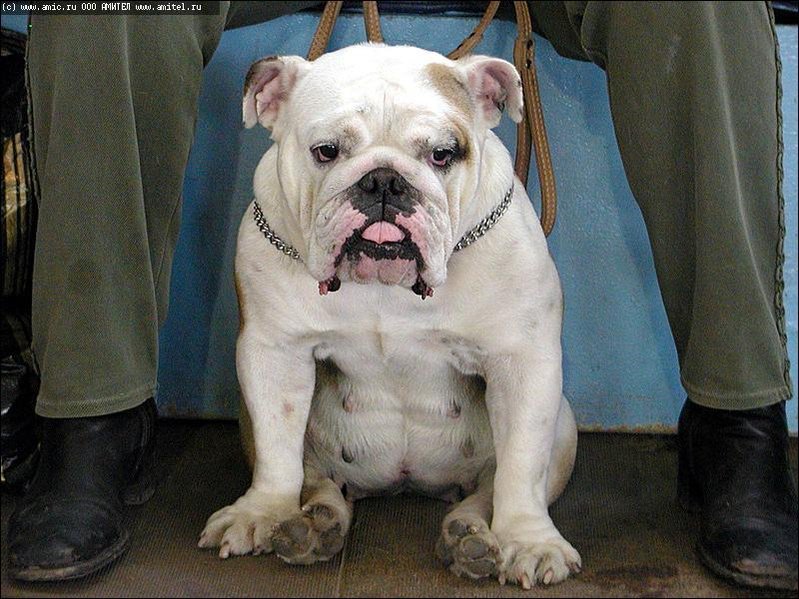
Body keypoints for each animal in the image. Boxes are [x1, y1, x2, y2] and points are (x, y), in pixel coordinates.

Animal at [199, 43, 580, 588]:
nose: (383, 180)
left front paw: (527, 539)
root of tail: (405, 482)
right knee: (316, 479)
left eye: (443, 154)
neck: (384, 287)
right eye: (326, 151)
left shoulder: (522, 361)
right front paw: (263, 511)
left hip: (562, 425)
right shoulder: (273, 352)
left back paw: (470, 538)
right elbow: (278, 448)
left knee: (488, 486)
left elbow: (522, 465)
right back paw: (312, 526)